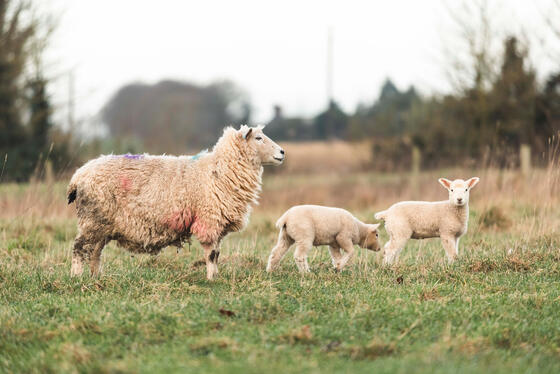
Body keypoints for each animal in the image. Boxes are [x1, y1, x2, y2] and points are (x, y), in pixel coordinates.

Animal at [67, 125, 284, 278]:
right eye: (258, 138)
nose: (282, 152)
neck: (219, 170)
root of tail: (78, 175)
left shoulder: (217, 223)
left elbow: (217, 253)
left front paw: (216, 276)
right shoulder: (208, 220)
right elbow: (211, 254)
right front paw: (212, 279)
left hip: (102, 223)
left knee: (95, 251)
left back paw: (96, 276)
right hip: (93, 219)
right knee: (79, 248)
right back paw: (77, 277)